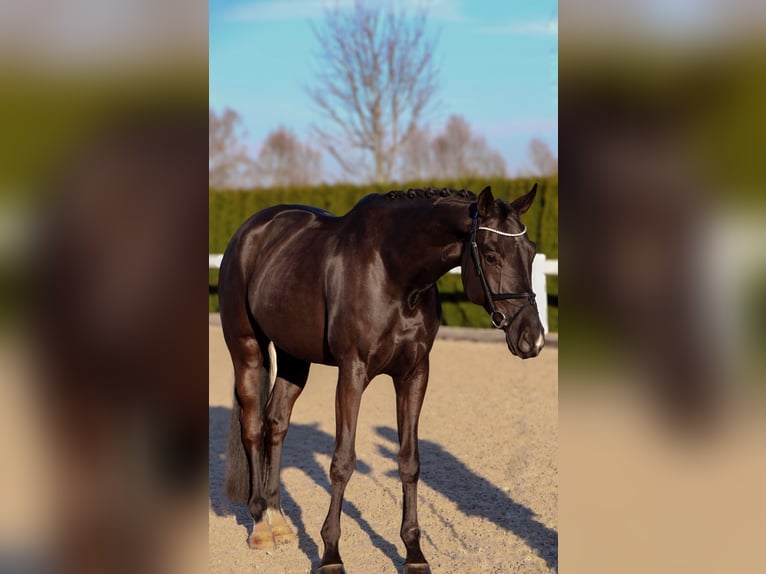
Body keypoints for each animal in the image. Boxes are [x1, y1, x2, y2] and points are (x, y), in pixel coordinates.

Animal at [219, 186, 544, 574]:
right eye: (492, 255)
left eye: (531, 252)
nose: (532, 338)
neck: (394, 272)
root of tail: (249, 231)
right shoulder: (352, 373)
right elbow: (342, 463)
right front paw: (331, 555)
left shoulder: (415, 374)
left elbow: (409, 462)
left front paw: (414, 552)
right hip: (247, 349)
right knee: (253, 426)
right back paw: (260, 525)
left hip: (294, 357)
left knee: (276, 422)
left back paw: (279, 519)